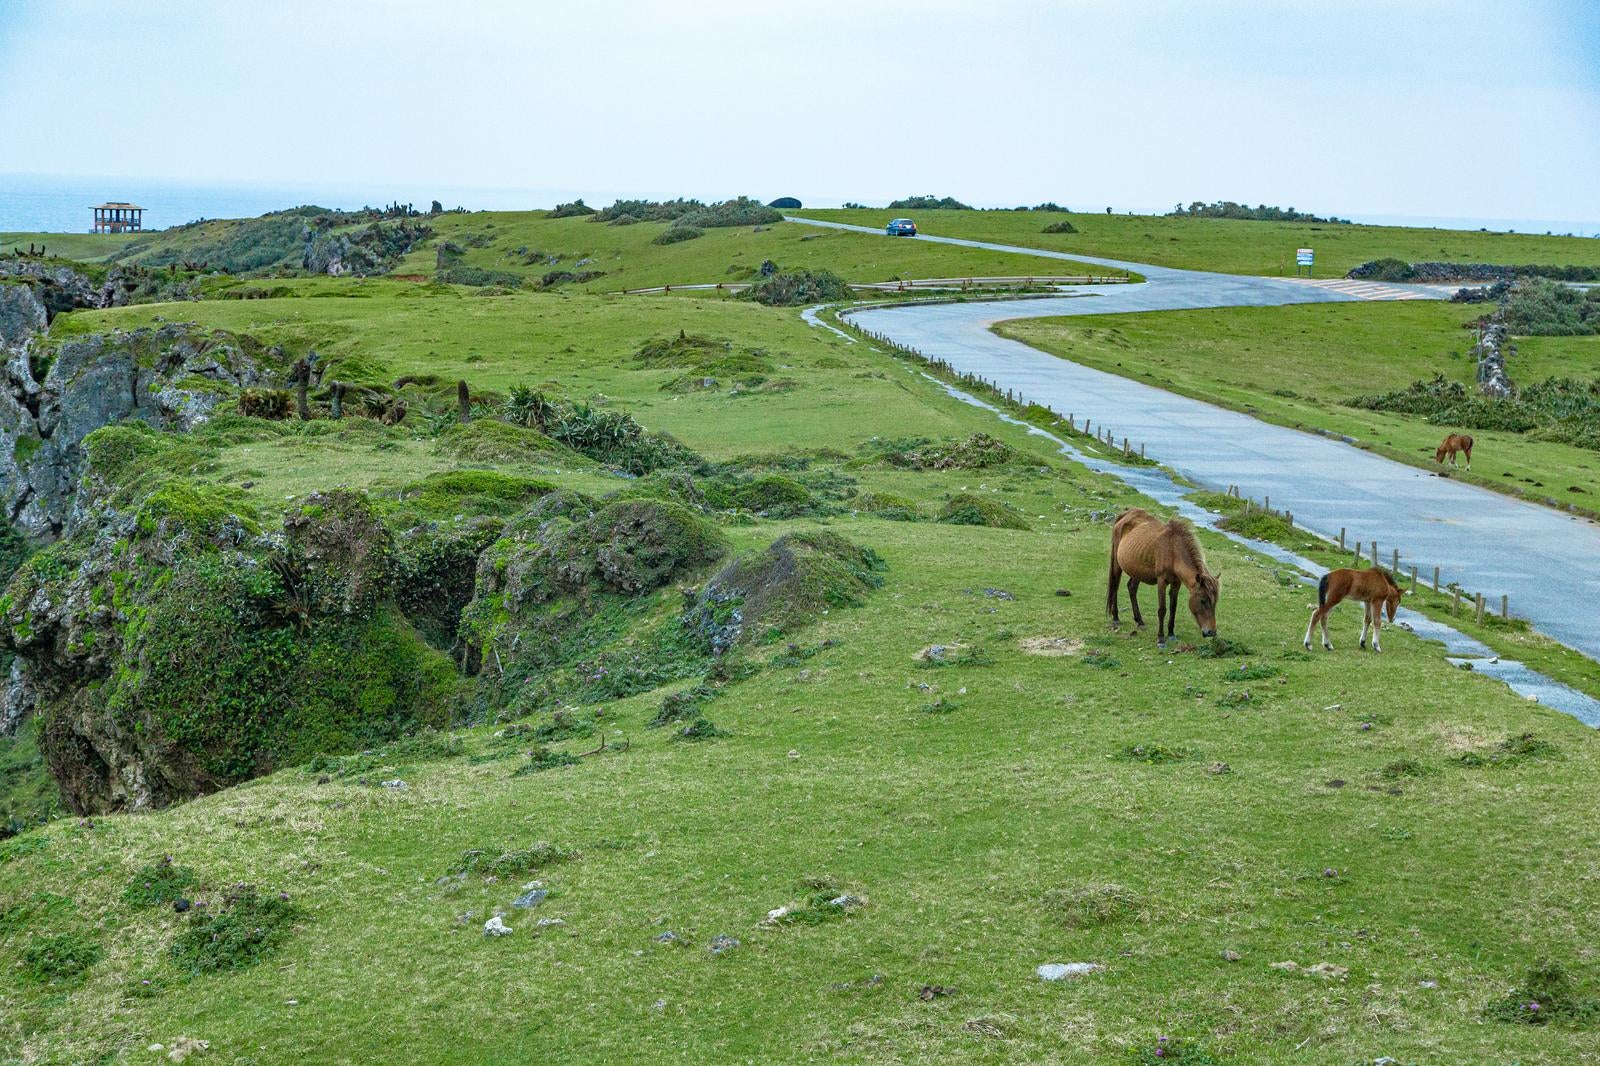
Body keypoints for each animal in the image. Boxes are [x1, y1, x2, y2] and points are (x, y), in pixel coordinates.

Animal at [1107, 508, 1220, 646]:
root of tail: (1126, 514)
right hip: (1117, 565)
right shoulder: (1162, 581)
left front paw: (1171, 633)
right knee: (1115, 586)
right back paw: (1115, 617)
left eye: (1215, 602)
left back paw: (1140, 621)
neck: (1173, 551)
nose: (1211, 632)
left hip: (1137, 569)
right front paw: (1161, 638)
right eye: (1203, 601)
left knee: (1131, 588)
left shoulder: (1176, 583)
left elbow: (1173, 608)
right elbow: (1162, 609)